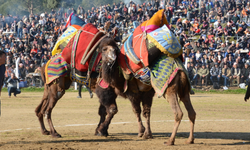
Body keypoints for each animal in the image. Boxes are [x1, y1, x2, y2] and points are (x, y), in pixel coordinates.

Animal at [35, 9, 195, 145]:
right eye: (104, 49)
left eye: (115, 50)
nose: (112, 59)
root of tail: (46, 63)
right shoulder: (116, 90)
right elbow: (116, 110)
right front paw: (137, 132)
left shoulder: (139, 92)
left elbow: (137, 111)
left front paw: (103, 131)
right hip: (57, 86)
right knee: (47, 108)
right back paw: (54, 133)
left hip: (52, 86)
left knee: (42, 107)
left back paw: (46, 131)